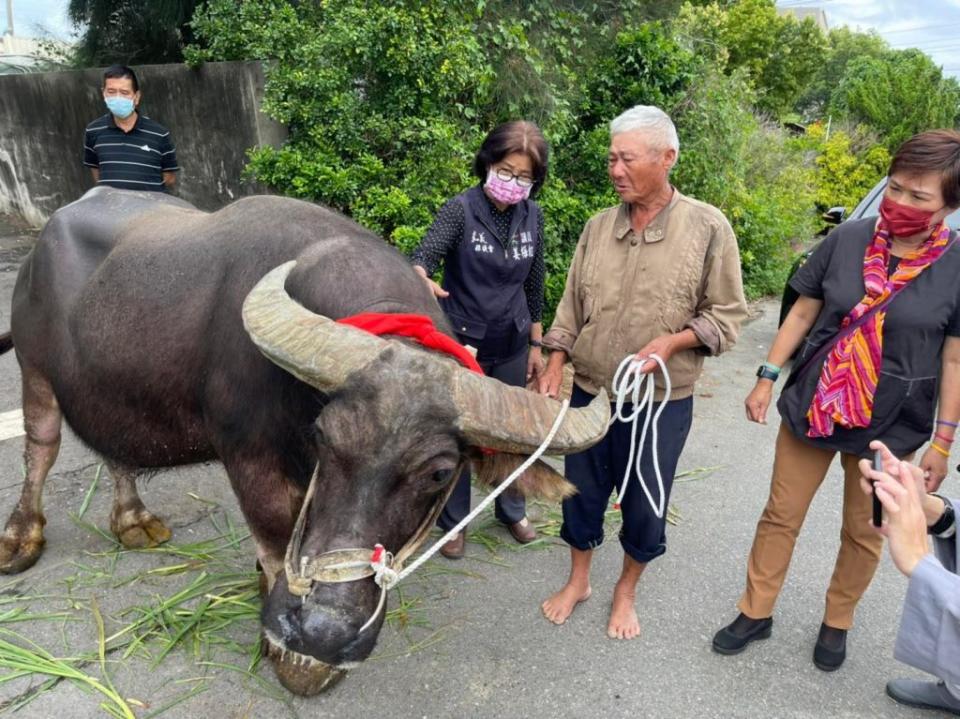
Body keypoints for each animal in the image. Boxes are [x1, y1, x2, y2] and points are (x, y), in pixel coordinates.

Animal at [0, 188, 608, 696]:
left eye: (438, 472)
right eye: (324, 436)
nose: (323, 630)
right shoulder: (248, 456)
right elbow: (275, 534)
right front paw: (293, 654)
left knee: (114, 446)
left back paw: (132, 520)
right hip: (33, 364)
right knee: (42, 444)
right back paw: (20, 538)